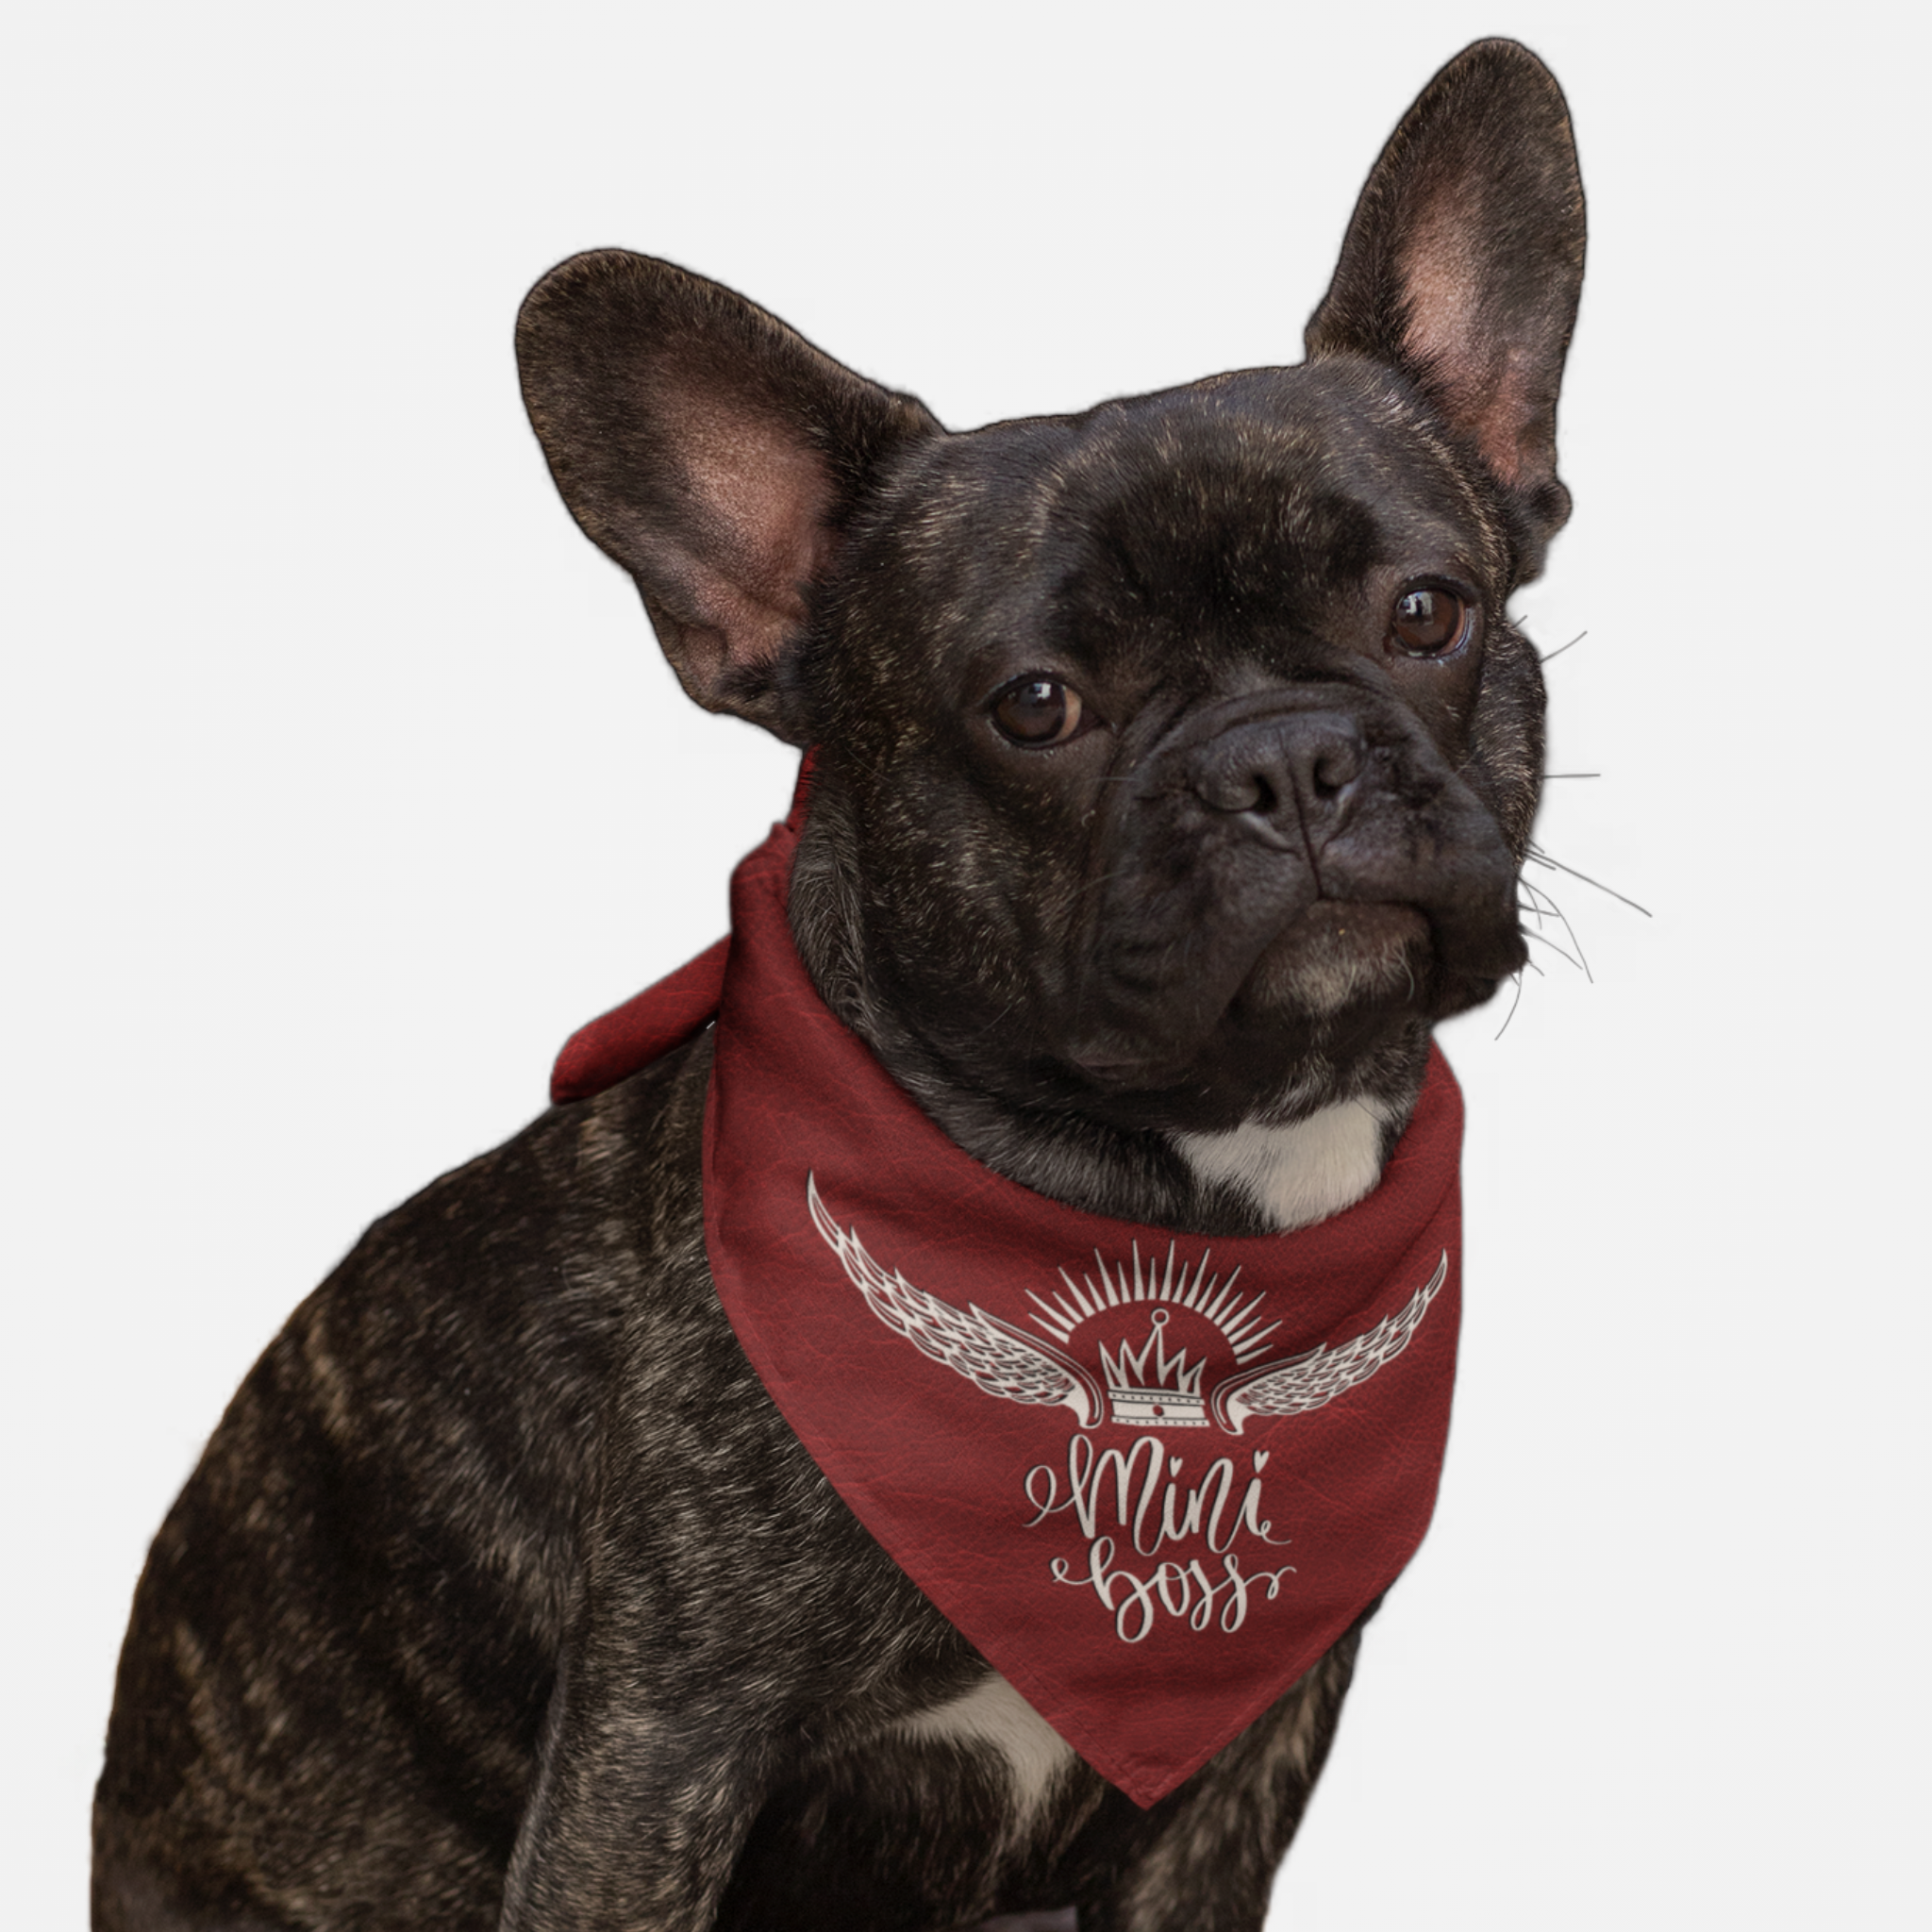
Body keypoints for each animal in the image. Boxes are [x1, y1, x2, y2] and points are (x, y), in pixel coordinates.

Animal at [93, 34, 1584, 1932]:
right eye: (1035, 706)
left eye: (1426, 610)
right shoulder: (656, 1752)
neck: (1165, 1197)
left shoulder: (1232, 1776)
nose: (1286, 760)